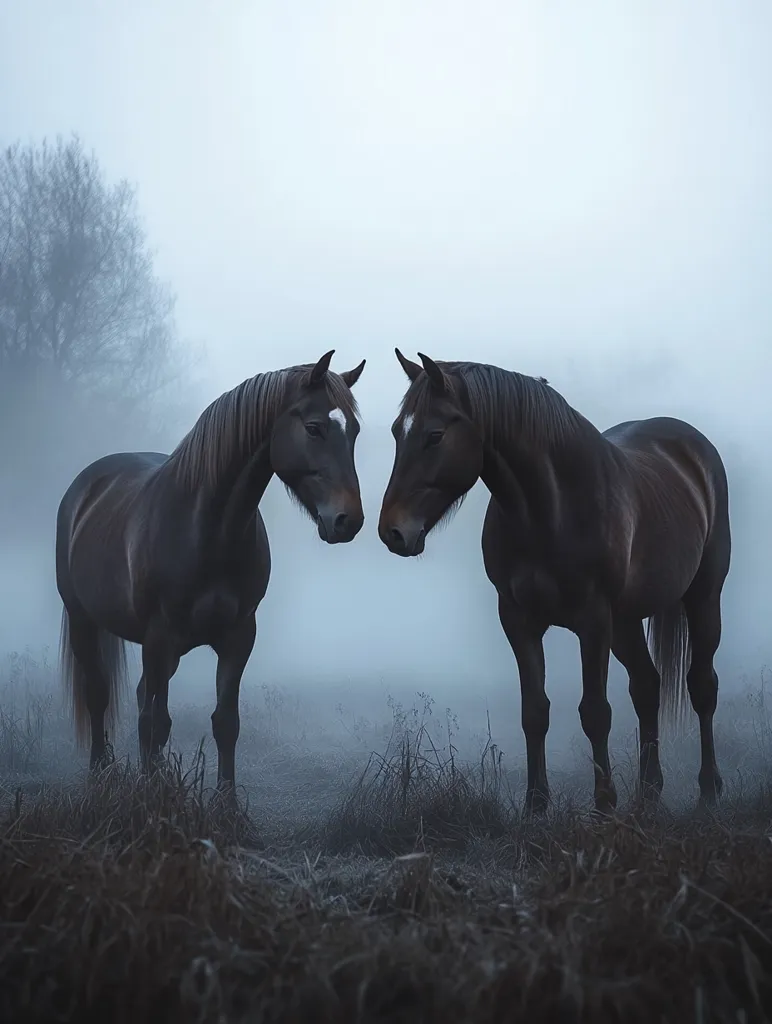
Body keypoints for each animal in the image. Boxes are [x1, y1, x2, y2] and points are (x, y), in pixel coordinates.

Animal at [56, 350, 365, 792]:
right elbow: (152, 723)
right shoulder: (158, 637)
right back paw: (101, 773)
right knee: (100, 694)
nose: (348, 520)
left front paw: (226, 801)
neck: (208, 528)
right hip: (85, 619)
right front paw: (151, 798)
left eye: (354, 430)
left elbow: (225, 723)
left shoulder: (239, 636)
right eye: (313, 428)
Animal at [378, 349, 731, 814]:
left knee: (702, 687)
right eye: (397, 432)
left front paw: (604, 806)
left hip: (702, 596)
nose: (393, 532)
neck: (550, 508)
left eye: (435, 435)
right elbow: (534, 712)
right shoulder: (518, 619)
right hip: (626, 622)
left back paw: (709, 790)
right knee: (647, 687)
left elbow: (595, 712)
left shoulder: (593, 621)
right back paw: (648, 794)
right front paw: (535, 805)